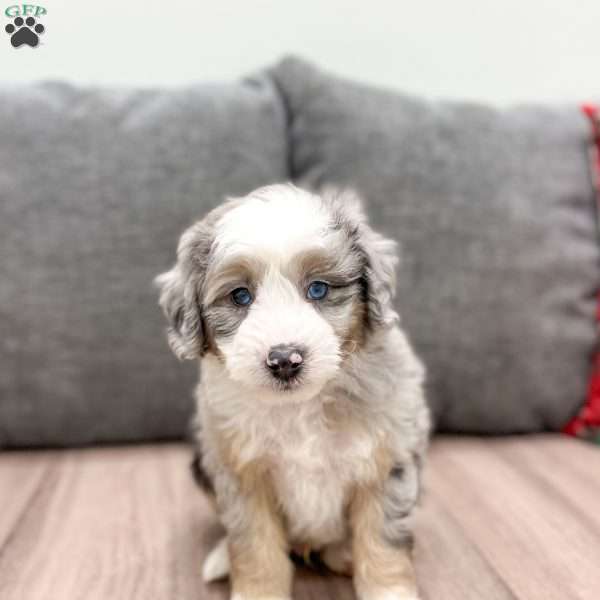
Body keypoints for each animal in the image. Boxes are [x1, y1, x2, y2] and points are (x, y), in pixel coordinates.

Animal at [157, 184, 428, 600]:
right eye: (240, 296)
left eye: (318, 289)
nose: (285, 359)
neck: (301, 406)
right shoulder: (240, 473)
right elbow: (254, 548)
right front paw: (256, 590)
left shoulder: (388, 462)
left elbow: (384, 544)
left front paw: (389, 592)